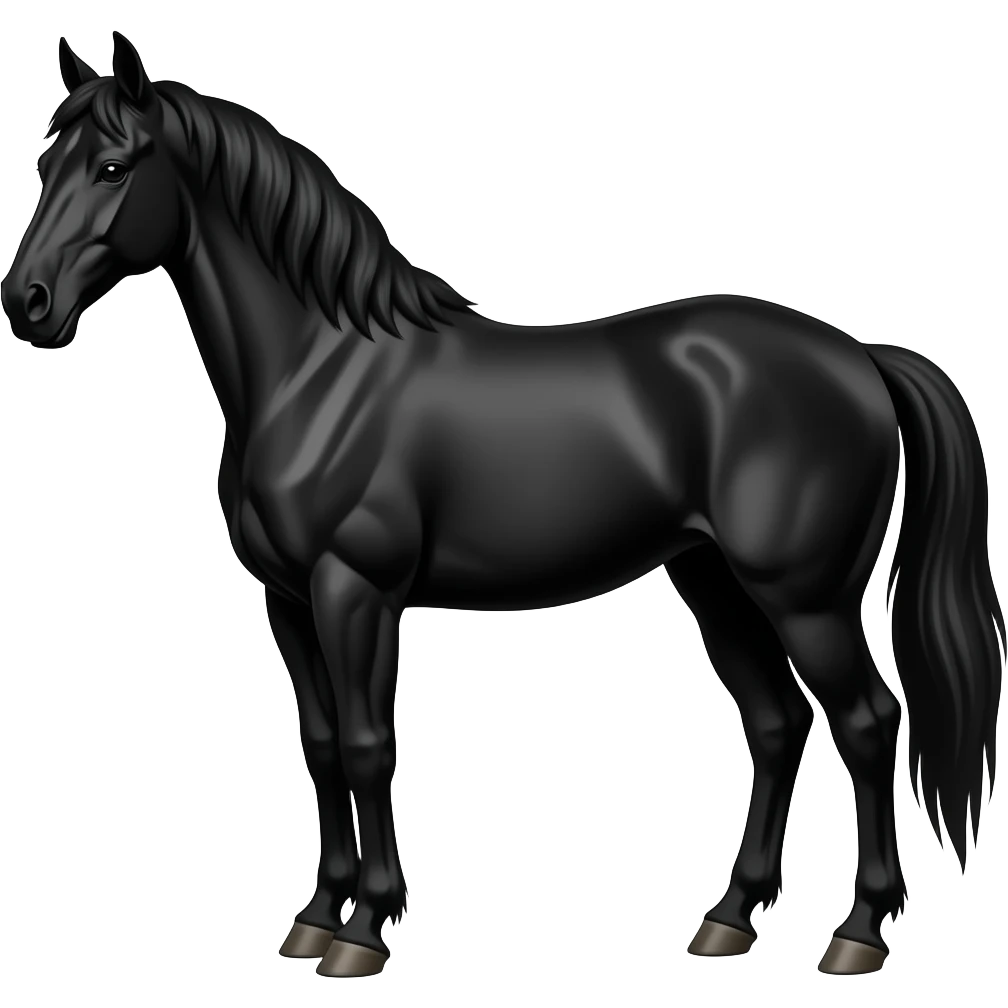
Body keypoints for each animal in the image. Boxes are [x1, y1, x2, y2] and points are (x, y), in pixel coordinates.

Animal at [3, 32, 1004, 978]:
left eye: (114, 167)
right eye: (47, 164)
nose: (28, 304)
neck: (319, 370)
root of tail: (860, 356)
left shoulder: (355, 591)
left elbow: (367, 745)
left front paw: (363, 932)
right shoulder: (286, 600)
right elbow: (320, 746)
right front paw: (314, 918)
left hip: (807, 598)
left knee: (868, 726)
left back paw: (859, 933)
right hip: (713, 580)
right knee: (777, 722)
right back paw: (728, 919)